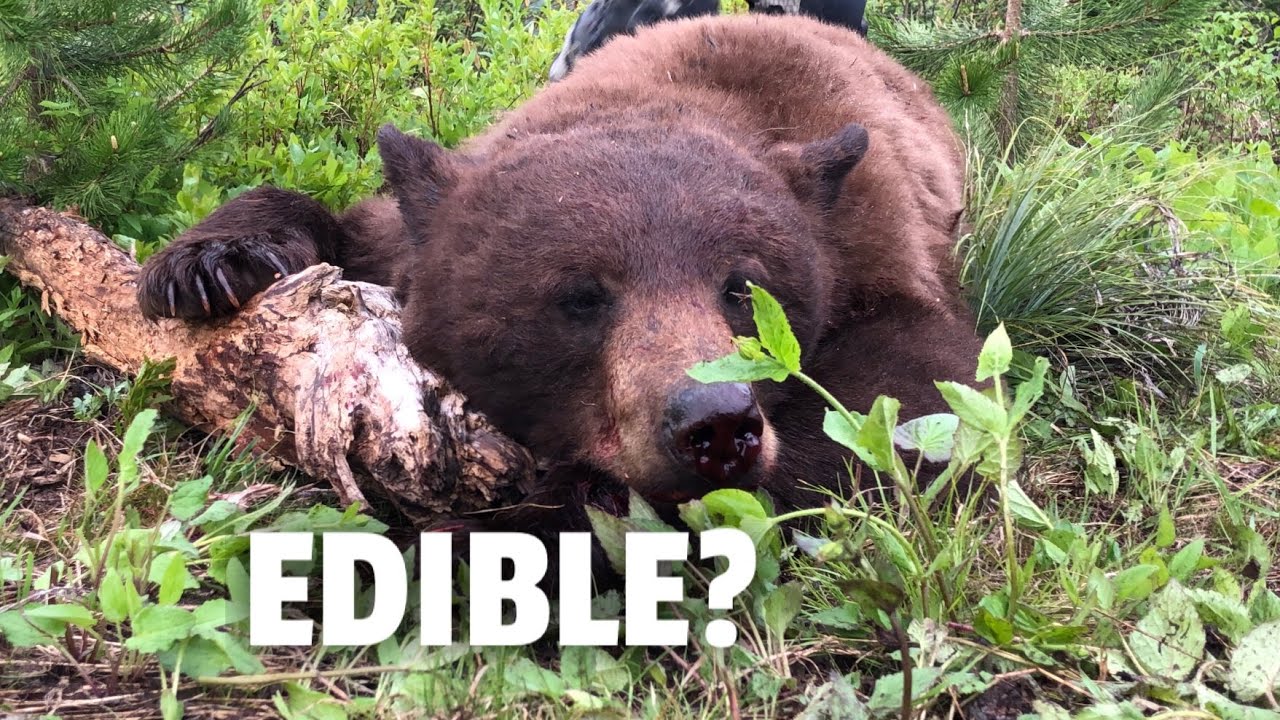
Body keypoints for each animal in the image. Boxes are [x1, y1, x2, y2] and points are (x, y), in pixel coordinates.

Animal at [136, 15, 983, 520]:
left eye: (742, 288)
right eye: (580, 297)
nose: (714, 425)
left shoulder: (878, 249)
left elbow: (907, 400)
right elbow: (356, 222)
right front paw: (209, 263)